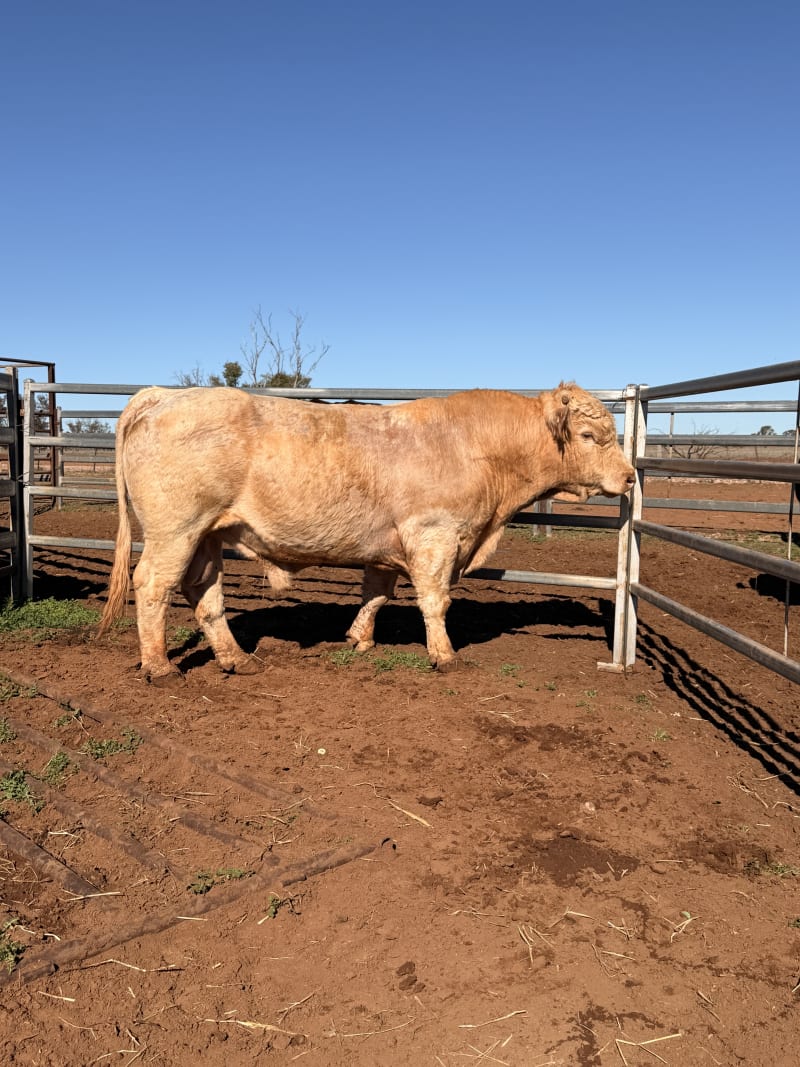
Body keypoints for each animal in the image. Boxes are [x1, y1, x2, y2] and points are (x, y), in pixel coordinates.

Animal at [98, 383, 635, 680]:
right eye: (589, 436)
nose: (630, 477)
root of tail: (163, 394)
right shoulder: (435, 536)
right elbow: (434, 601)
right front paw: (444, 655)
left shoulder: (386, 547)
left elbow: (377, 593)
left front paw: (359, 638)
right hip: (176, 530)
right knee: (154, 586)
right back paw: (160, 667)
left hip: (208, 535)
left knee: (204, 593)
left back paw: (237, 659)